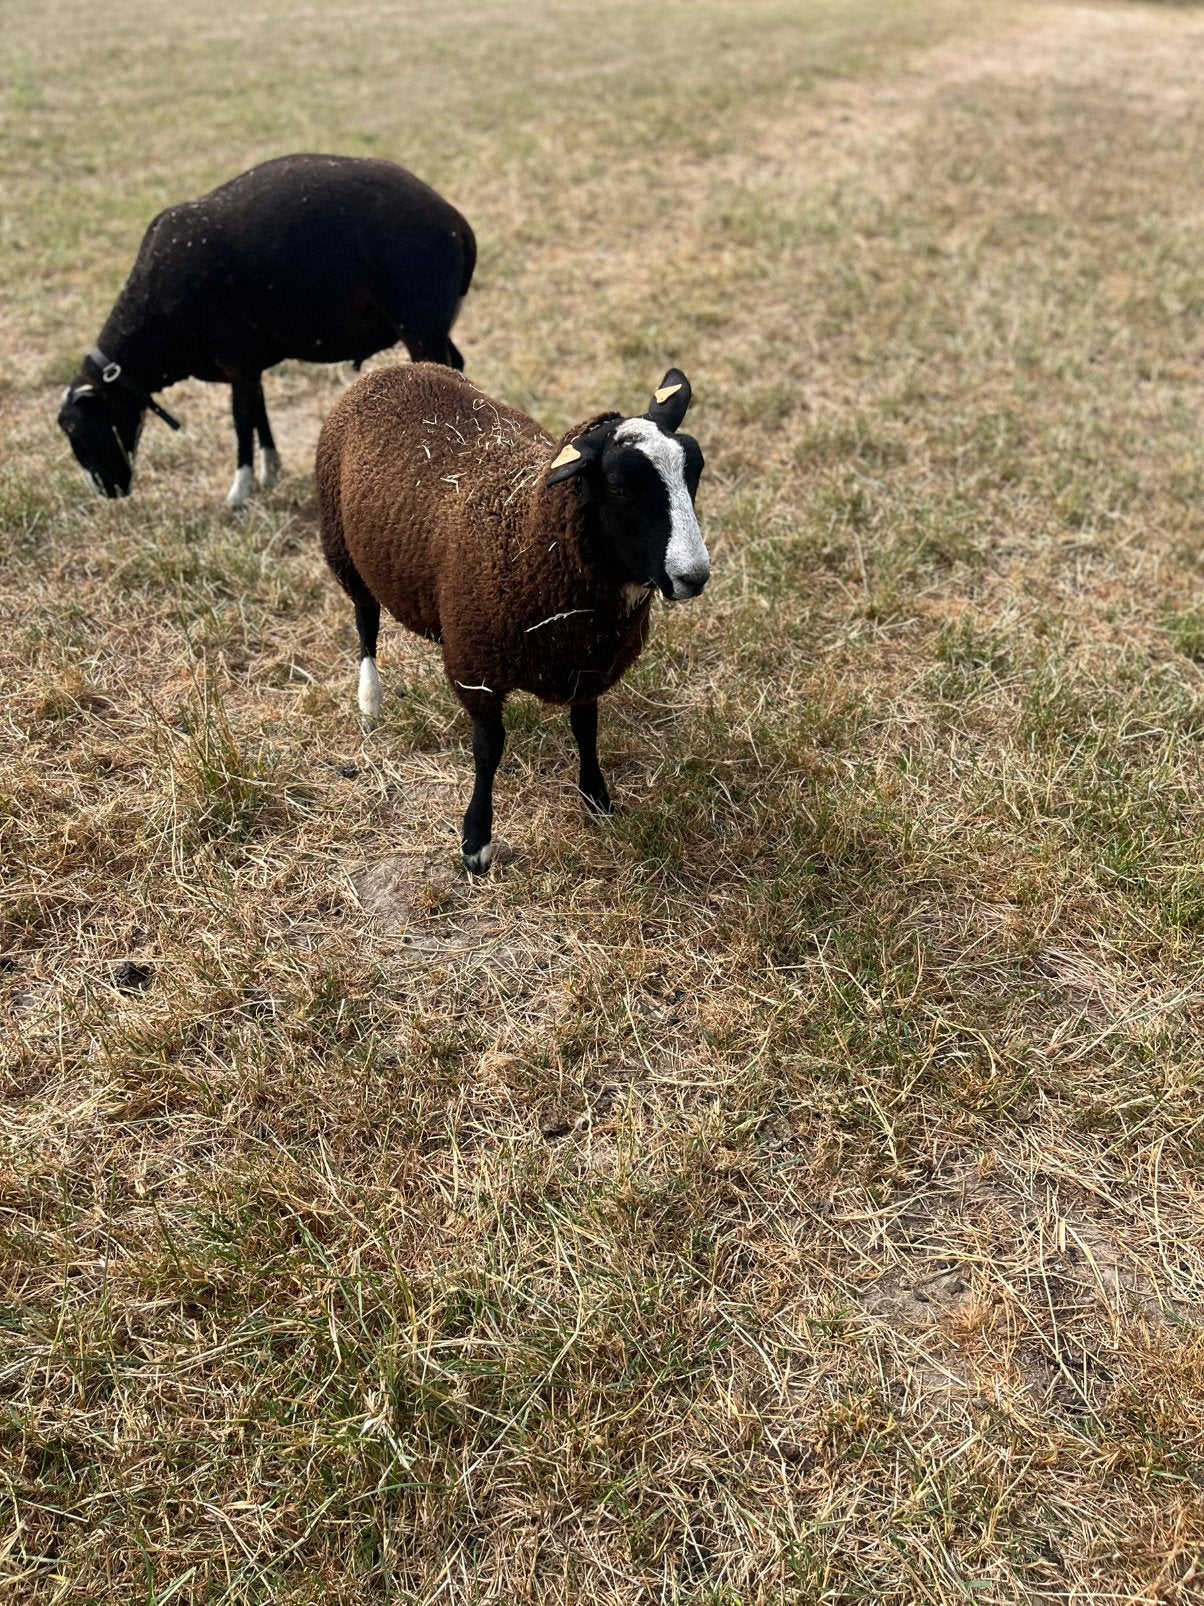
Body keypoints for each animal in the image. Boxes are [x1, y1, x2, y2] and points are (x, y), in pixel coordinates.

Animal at [57, 154, 475, 506]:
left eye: (77, 430)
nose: (106, 492)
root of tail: (456, 223)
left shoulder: (235, 359)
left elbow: (242, 421)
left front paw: (240, 491)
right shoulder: (246, 365)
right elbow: (258, 413)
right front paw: (270, 470)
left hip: (418, 325)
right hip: (433, 326)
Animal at [316, 362, 709, 872]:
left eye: (695, 471)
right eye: (620, 487)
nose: (693, 576)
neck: (527, 529)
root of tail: (394, 368)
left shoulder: (586, 663)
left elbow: (586, 729)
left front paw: (597, 800)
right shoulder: (477, 669)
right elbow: (488, 750)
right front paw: (476, 841)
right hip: (344, 552)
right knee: (366, 623)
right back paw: (370, 702)